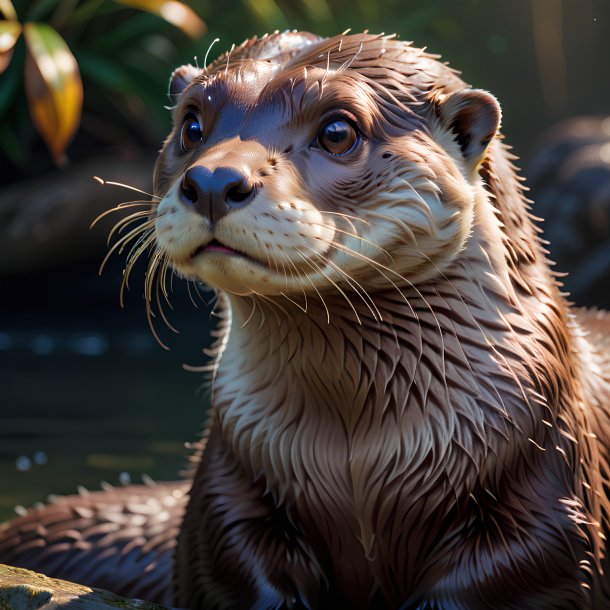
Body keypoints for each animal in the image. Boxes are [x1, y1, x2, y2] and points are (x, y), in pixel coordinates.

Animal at [1, 32, 608, 608]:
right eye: (192, 124)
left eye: (338, 131)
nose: (214, 181)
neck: (357, 461)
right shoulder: (230, 497)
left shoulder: (544, 498)